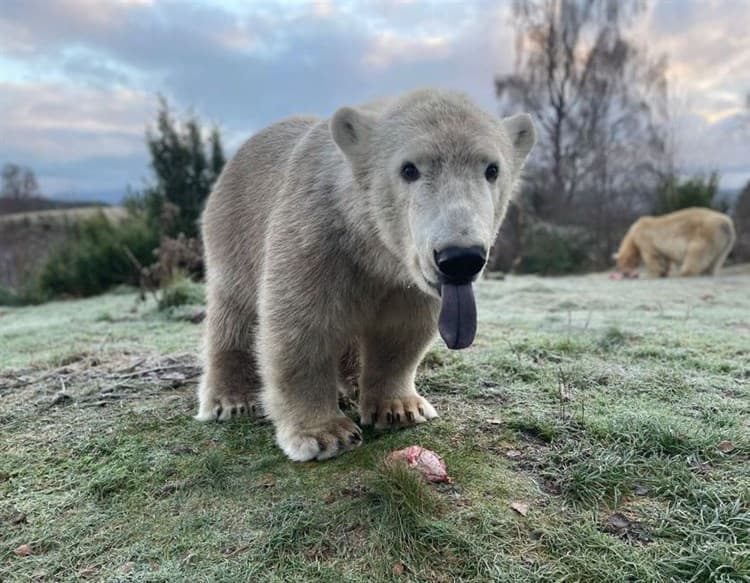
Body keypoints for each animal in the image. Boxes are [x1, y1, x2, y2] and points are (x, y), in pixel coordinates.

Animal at [196, 89, 536, 461]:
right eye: (408, 169)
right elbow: (302, 326)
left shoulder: (405, 281)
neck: (372, 247)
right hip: (234, 230)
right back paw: (231, 400)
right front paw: (324, 434)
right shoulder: (315, 237)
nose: (460, 258)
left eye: (492, 169)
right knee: (232, 312)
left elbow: (401, 331)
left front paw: (400, 408)